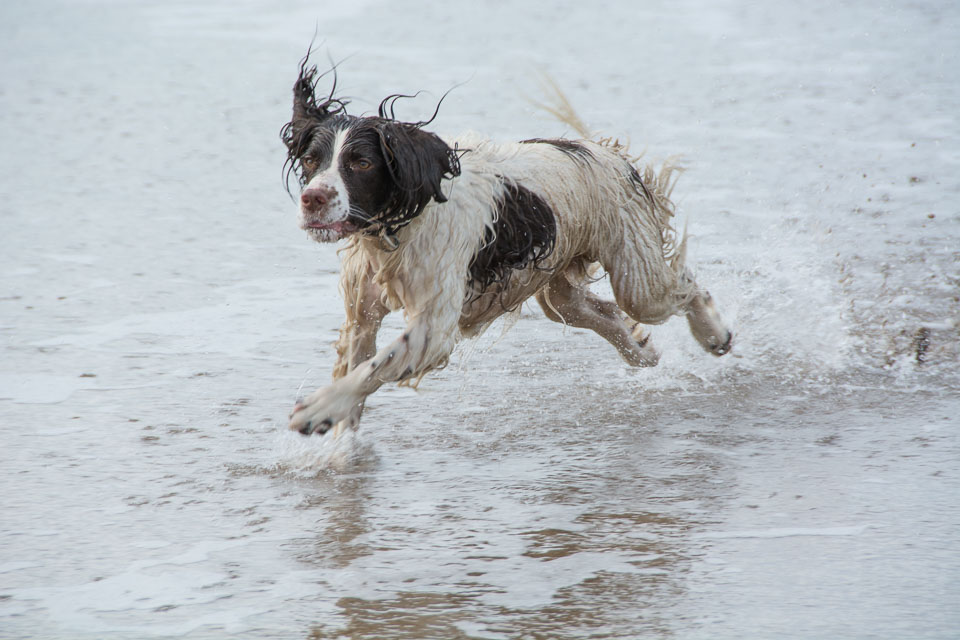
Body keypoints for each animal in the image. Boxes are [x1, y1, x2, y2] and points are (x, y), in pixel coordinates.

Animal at [282, 58, 732, 436]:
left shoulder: (433, 327)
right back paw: (642, 352)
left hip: (637, 279)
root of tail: (606, 152)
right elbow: (358, 365)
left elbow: (372, 369)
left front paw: (319, 409)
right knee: (601, 312)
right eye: (311, 159)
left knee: (684, 286)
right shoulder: (363, 314)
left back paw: (714, 333)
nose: (313, 199)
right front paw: (340, 431)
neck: (400, 224)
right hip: (558, 288)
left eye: (361, 163)